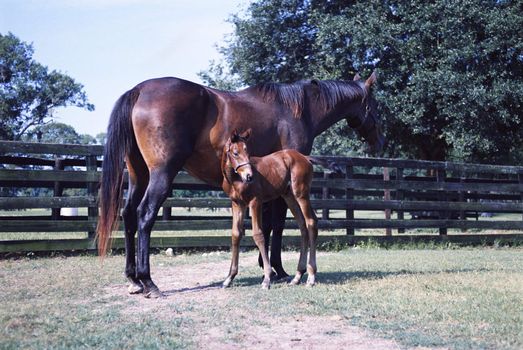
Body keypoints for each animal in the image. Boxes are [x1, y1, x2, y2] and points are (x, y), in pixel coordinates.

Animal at [221, 130, 320, 288]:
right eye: (235, 153)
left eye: (248, 151)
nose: (249, 176)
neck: (235, 180)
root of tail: (305, 158)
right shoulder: (237, 204)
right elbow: (236, 234)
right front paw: (229, 278)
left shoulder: (255, 202)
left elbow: (259, 235)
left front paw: (267, 277)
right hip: (289, 197)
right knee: (302, 226)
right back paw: (297, 276)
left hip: (301, 194)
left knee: (311, 222)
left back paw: (311, 276)